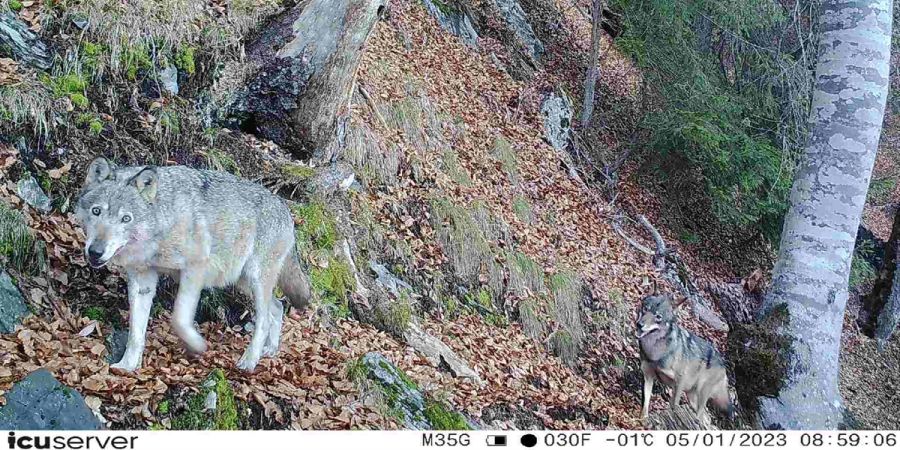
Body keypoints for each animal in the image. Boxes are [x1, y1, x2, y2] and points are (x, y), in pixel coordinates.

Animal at [74, 158, 312, 372]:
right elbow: (135, 333)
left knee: (263, 320)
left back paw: (249, 361)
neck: (163, 223)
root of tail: (286, 211)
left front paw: (197, 345)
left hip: (255, 279)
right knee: (278, 307)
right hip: (243, 282)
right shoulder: (143, 280)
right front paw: (127, 366)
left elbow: (179, 318)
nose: (95, 252)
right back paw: (270, 349)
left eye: (126, 219)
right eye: (96, 211)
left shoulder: (195, 269)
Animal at [636, 294, 736, 428]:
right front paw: (642, 420)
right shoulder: (648, 376)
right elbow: (645, 402)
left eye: (658, 317)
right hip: (692, 397)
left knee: (701, 415)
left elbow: (673, 405)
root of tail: (723, 363)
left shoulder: (679, 381)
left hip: (701, 393)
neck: (655, 353)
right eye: (645, 309)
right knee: (706, 418)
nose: (639, 324)